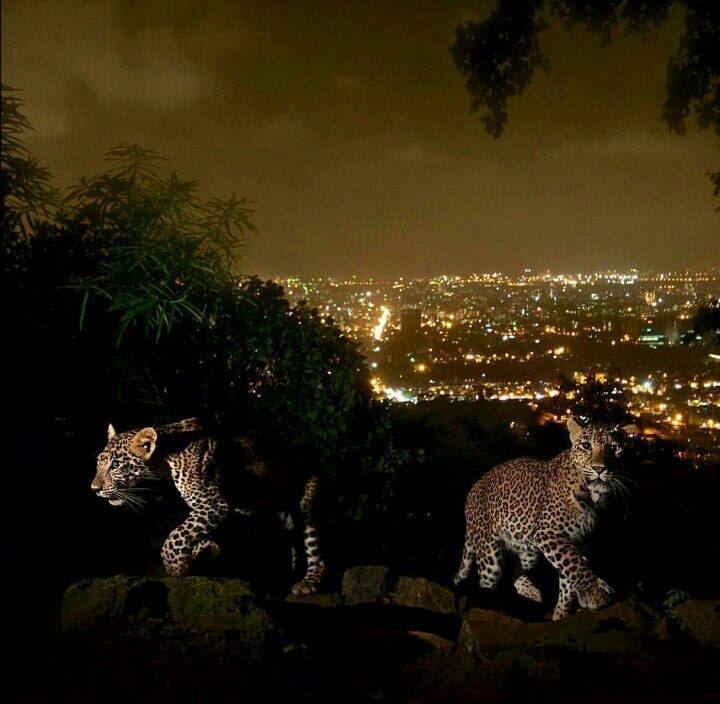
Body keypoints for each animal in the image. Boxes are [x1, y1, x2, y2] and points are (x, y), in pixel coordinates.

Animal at [92, 418, 326, 592]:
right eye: (98, 463)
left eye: (116, 465)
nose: (94, 489)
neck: (164, 461)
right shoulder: (220, 509)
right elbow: (193, 532)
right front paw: (206, 549)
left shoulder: (215, 503)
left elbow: (176, 535)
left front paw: (176, 566)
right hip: (281, 515)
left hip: (307, 507)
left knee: (315, 549)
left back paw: (308, 582)